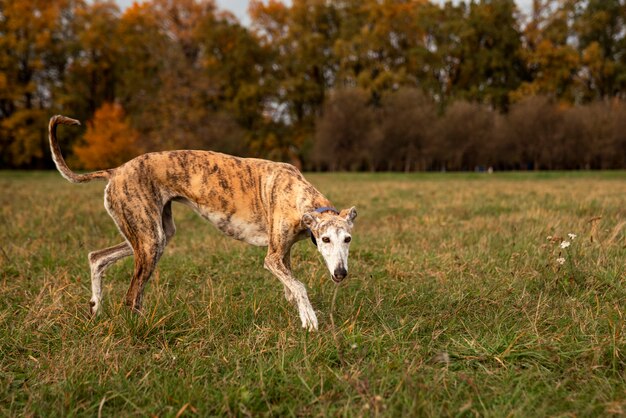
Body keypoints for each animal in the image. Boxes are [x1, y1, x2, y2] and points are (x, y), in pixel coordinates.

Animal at [48, 114, 356, 330]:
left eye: (348, 239)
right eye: (325, 239)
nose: (341, 274)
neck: (303, 199)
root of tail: (115, 170)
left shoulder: (283, 252)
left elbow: (292, 289)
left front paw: (304, 315)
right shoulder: (273, 258)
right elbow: (299, 286)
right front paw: (311, 322)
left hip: (153, 235)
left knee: (97, 257)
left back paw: (95, 308)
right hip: (149, 240)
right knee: (131, 296)